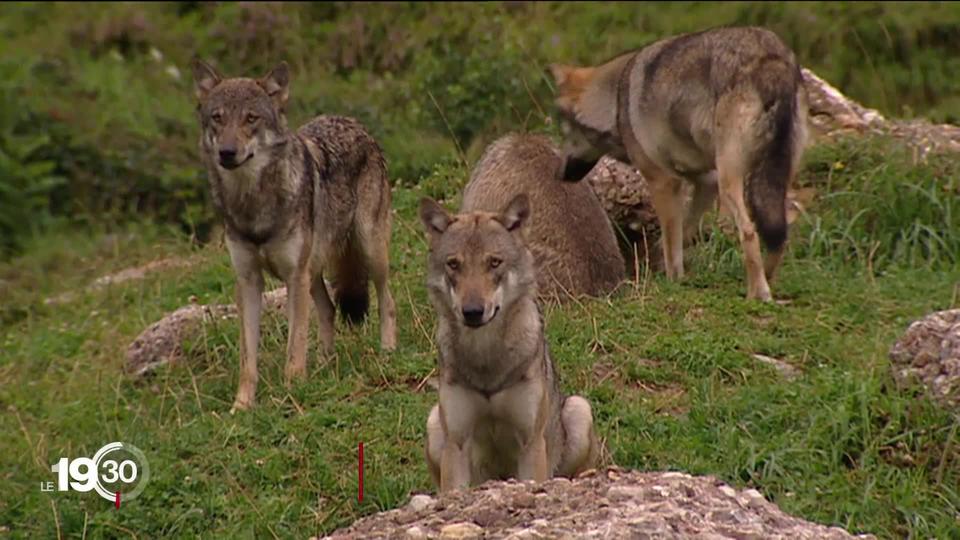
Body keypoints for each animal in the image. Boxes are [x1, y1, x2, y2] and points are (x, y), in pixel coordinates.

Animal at [192, 59, 398, 412]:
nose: (227, 152)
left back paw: (387, 350)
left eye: (251, 118)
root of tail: (353, 122)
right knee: (328, 311)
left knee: (387, 299)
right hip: (312, 273)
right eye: (217, 117)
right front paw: (241, 406)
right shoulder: (249, 281)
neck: (254, 203)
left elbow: (294, 345)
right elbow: (248, 359)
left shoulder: (293, 276)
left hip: (368, 252)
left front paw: (291, 392)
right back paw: (326, 366)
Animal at [420, 194, 600, 494]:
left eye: (494, 262)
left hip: (579, 411)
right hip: (435, 425)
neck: (486, 358)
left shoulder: (531, 444)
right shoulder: (456, 444)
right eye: (454, 264)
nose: (472, 311)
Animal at [548, 27, 808, 302]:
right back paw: (767, 281)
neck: (615, 100)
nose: (559, 174)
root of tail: (772, 59)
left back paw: (756, 293)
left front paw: (672, 281)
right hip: (770, 181)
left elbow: (672, 243)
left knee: (749, 232)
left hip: (731, 182)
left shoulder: (663, 182)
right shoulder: (705, 180)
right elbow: (684, 232)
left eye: (565, 133)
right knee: (778, 234)